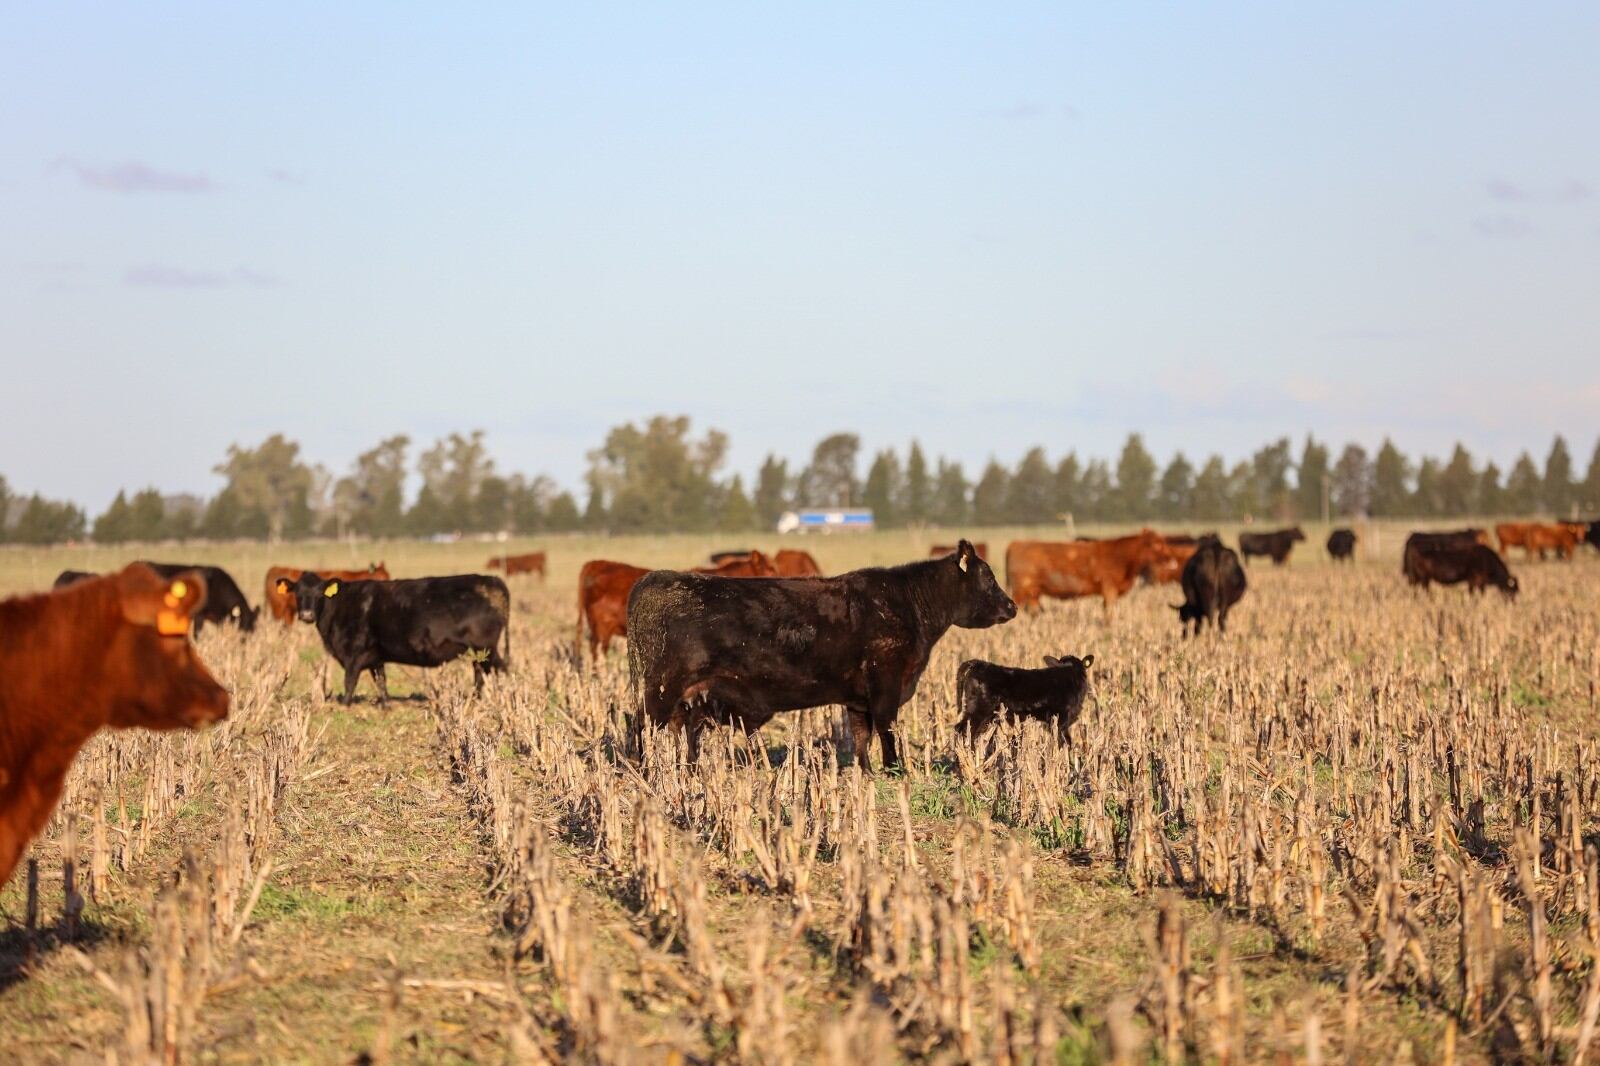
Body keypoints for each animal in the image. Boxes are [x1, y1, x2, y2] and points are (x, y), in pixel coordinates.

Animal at [278, 572, 510, 702]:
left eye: (319, 593)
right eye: (298, 593)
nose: (306, 615)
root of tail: (491, 580)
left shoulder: (354, 653)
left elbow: (349, 682)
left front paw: (344, 704)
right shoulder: (375, 657)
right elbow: (381, 681)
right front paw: (385, 703)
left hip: (485, 647)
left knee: (499, 670)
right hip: (479, 651)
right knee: (481, 672)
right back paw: (478, 698)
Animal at [627, 540, 1015, 769]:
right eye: (988, 577)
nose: (1011, 607)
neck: (906, 603)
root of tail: (656, 580)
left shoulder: (858, 697)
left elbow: (862, 736)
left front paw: (866, 772)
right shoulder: (886, 683)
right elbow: (886, 728)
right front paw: (895, 770)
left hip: (687, 697)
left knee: (680, 732)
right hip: (660, 691)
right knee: (642, 728)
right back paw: (645, 770)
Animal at [1004, 530, 1177, 615]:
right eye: (1157, 545)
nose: (1172, 560)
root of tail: (1016, 543)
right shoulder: (1109, 589)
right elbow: (1109, 614)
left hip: (1033, 592)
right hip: (1020, 589)